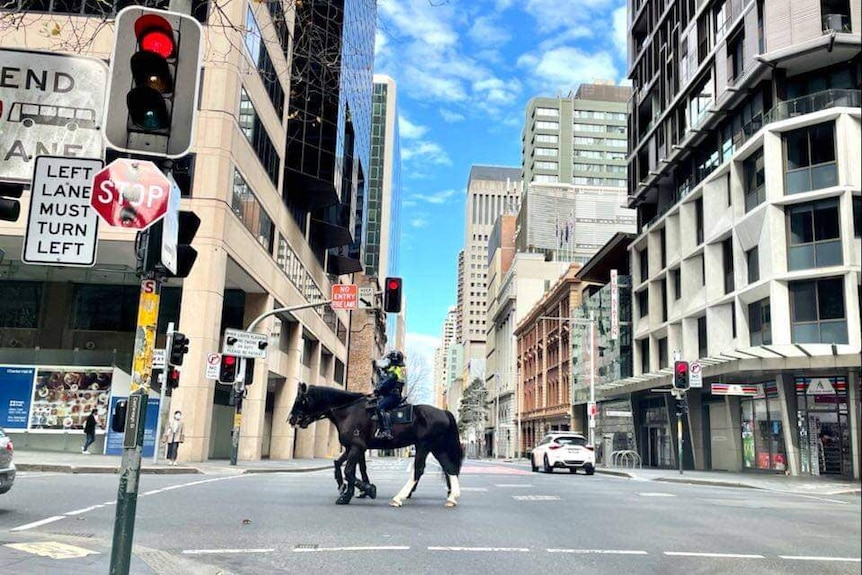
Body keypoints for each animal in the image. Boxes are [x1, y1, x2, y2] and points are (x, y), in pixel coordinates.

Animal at [290, 384, 466, 506]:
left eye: (300, 400)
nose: (291, 419)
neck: (349, 411)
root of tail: (443, 412)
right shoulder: (353, 447)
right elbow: (340, 465)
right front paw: (347, 488)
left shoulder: (356, 447)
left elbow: (349, 470)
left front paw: (359, 491)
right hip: (437, 448)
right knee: (449, 467)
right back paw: (452, 497)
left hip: (424, 445)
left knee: (419, 470)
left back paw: (399, 498)